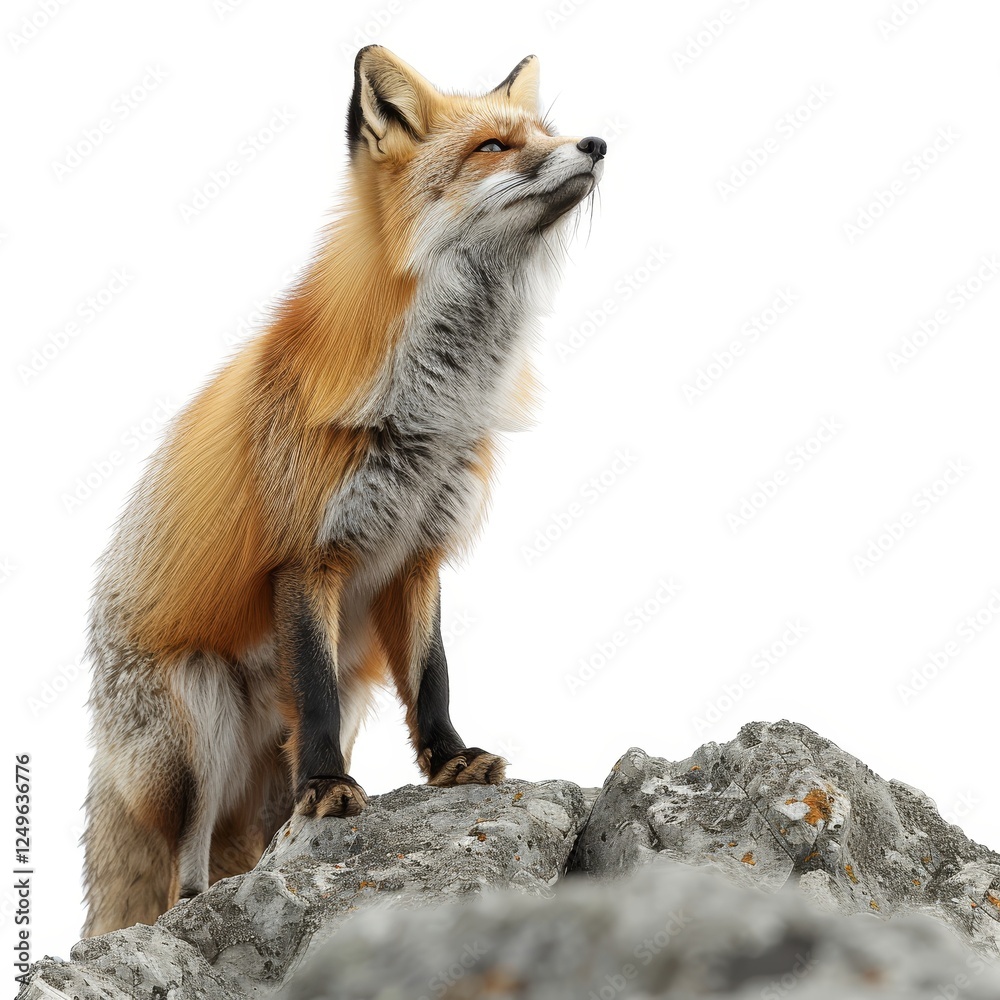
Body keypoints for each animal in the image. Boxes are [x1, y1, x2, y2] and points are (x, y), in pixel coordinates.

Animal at [81, 44, 606, 937]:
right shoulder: (305, 557)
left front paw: (450, 760)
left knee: (259, 831)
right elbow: (318, 693)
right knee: (182, 862)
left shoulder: (419, 555)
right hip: (197, 727)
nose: (596, 144)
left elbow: (432, 678)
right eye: (494, 147)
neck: (430, 409)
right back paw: (200, 902)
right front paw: (329, 788)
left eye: (549, 133)